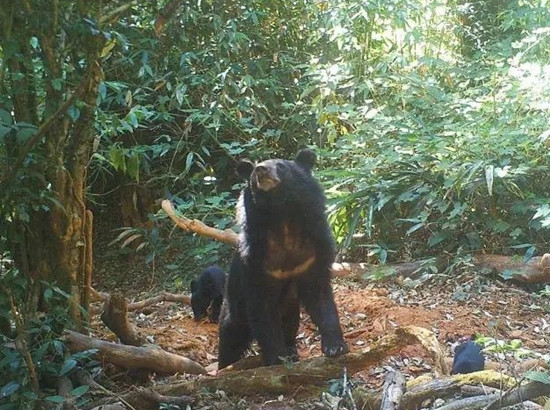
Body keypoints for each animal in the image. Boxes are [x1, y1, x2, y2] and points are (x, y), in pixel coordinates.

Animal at [219, 148, 350, 368]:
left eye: (281, 166)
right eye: (254, 171)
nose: (261, 170)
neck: (282, 219)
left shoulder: (313, 256)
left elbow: (321, 297)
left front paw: (336, 347)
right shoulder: (255, 263)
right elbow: (263, 313)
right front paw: (277, 358)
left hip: (289, 309)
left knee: (289, 325)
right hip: (234, 302)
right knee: (231, 334)